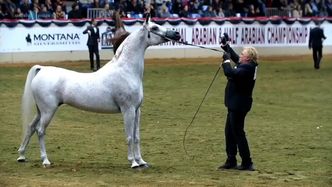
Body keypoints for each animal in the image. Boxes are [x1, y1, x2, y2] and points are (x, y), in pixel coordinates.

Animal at [16, 15, 180, 168]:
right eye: (154, 27)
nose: (177, 34)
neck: (126, 70)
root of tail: (42, 69)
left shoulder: (137, 110)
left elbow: (136, 137)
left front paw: (141, 161)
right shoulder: (128, 110)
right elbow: (129, 136)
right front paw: (133, 162)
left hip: (41, 111)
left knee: (30, 128)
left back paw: (22, 156)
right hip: (48, 111)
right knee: (40, 131)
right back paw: (45, 160)